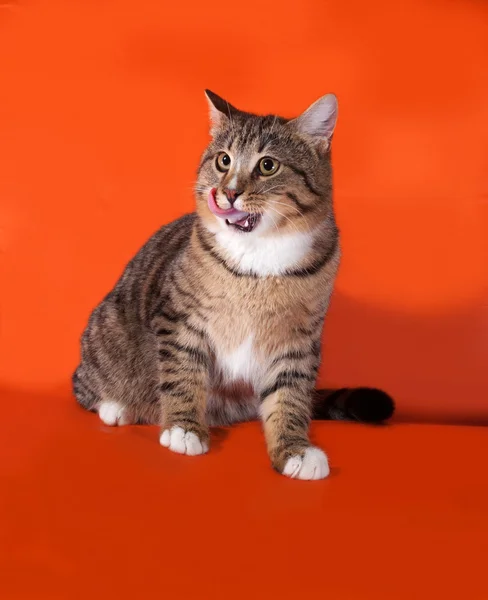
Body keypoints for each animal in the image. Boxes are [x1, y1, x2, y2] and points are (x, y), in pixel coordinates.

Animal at [71, 89, 392, 480]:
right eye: (223, 160)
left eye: (267, 165)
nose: (229, 192)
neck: (260, 255)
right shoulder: (179, 319)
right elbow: (182, 373)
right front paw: (184, 428)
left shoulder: (297, 339)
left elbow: (290, 396)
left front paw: (294, 449)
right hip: (106, 330)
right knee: (87, 385)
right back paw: (117, 407)